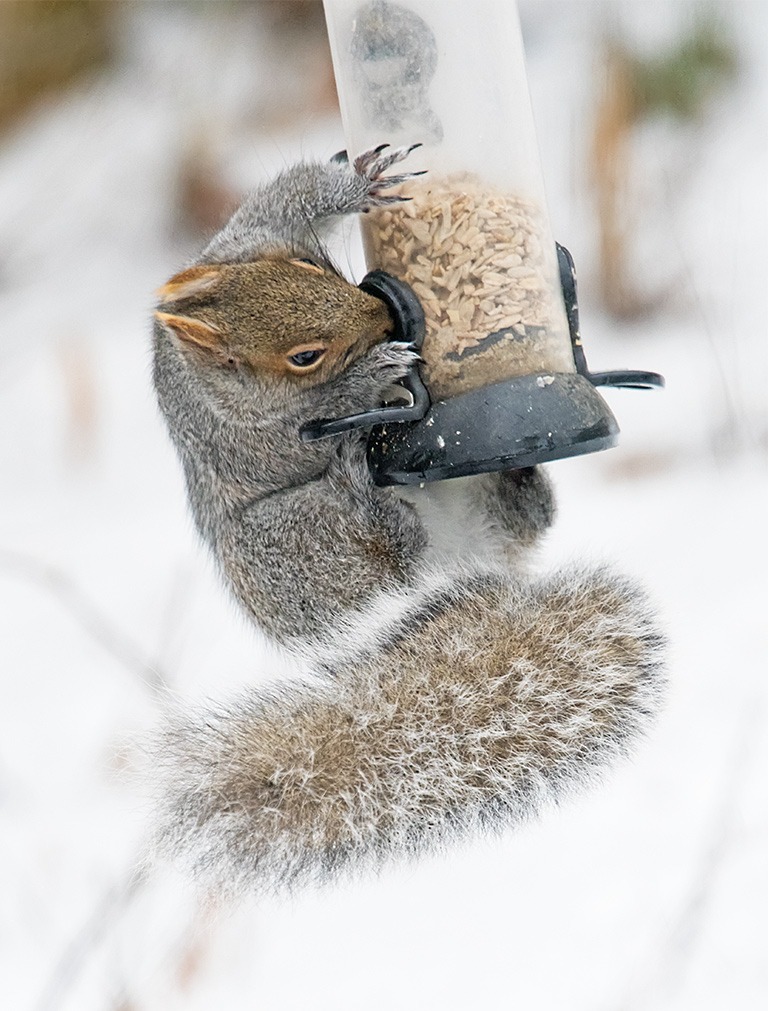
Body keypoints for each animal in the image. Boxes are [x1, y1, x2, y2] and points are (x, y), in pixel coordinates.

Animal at [151, 144, 666, 895]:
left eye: (311, 266)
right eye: (303, 356)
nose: (383, 322)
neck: (207, 376)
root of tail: (453, 555)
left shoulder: (249, 231)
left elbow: (292, 190)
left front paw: (359, 182)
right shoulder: (249, 437)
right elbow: (309, 426)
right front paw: (370, 376)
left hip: (480, 515)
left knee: (522, 523)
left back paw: (522, 479)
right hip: (296, 538)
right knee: (387, 545)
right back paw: (371, 493)